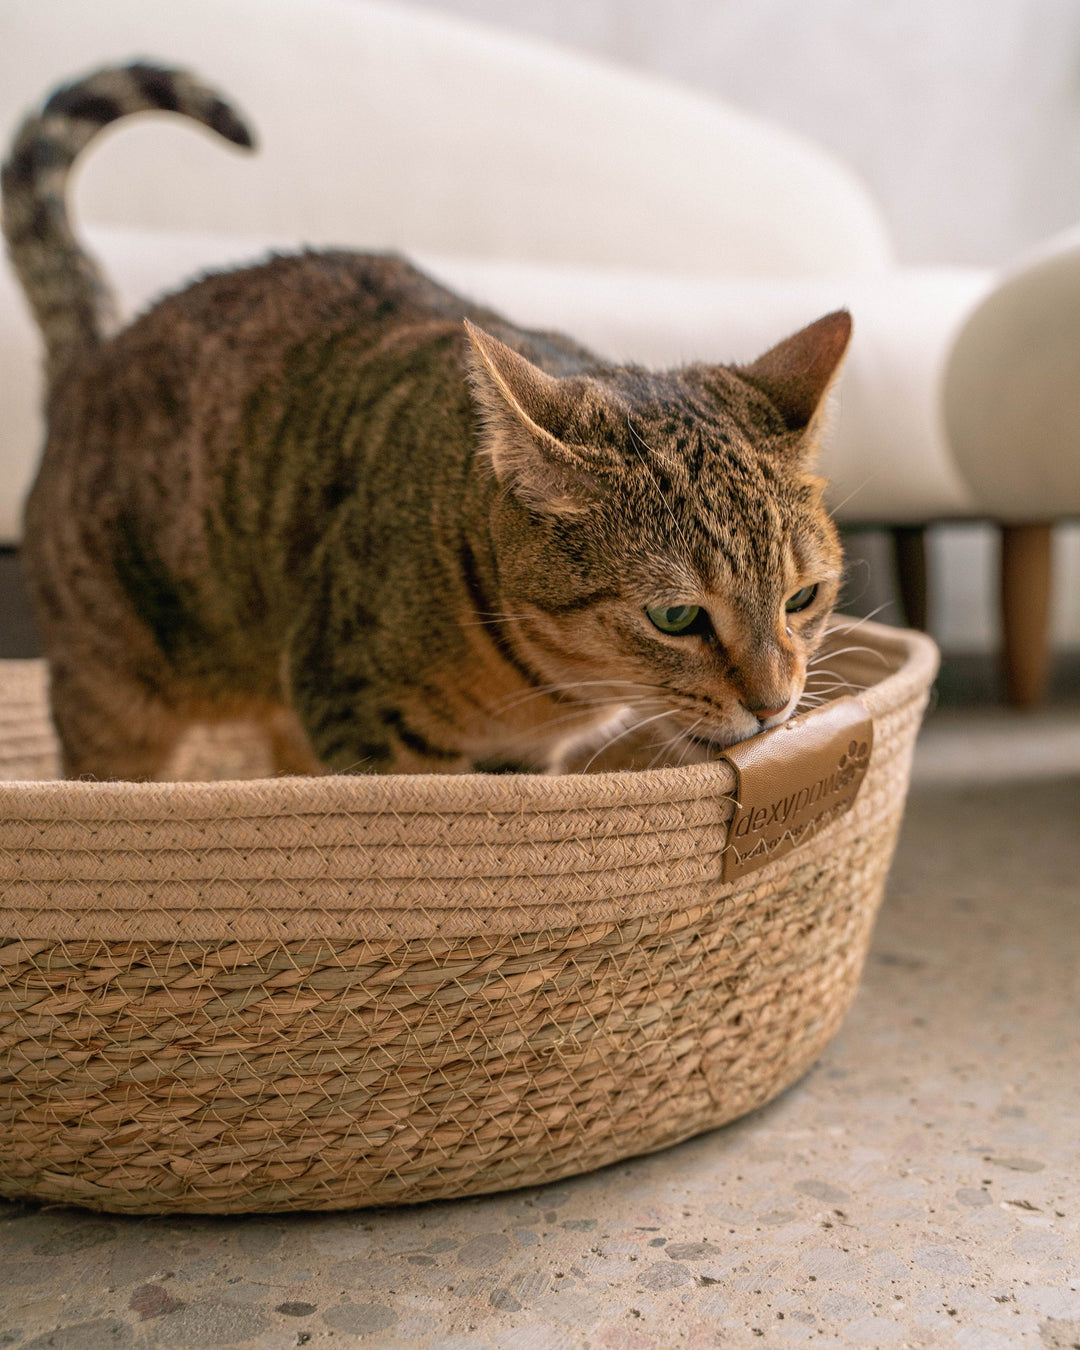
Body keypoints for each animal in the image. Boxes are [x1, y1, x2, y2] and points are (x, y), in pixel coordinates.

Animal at [4, 63, 858, 783]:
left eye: (802, 599)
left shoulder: (520, 761)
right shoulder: (357, 717)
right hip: (113, 690)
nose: (775, 705)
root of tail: (96, 351)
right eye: (676, 616)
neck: (544, 689)